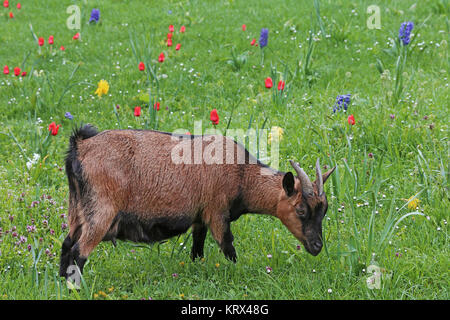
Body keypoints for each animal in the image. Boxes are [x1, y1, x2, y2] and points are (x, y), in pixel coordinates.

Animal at [59, 124, 334, 278]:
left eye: (324, 210)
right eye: (301, 210)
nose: (317, 246)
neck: (242, 174)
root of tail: (80, 147)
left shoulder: (200, 217)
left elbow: (197, 249)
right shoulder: (217, 212)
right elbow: (228, 247)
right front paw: (237, 271)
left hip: (78, 209)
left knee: (66, 245)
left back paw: (62, 283)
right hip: (102, 211)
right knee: (79, 251)